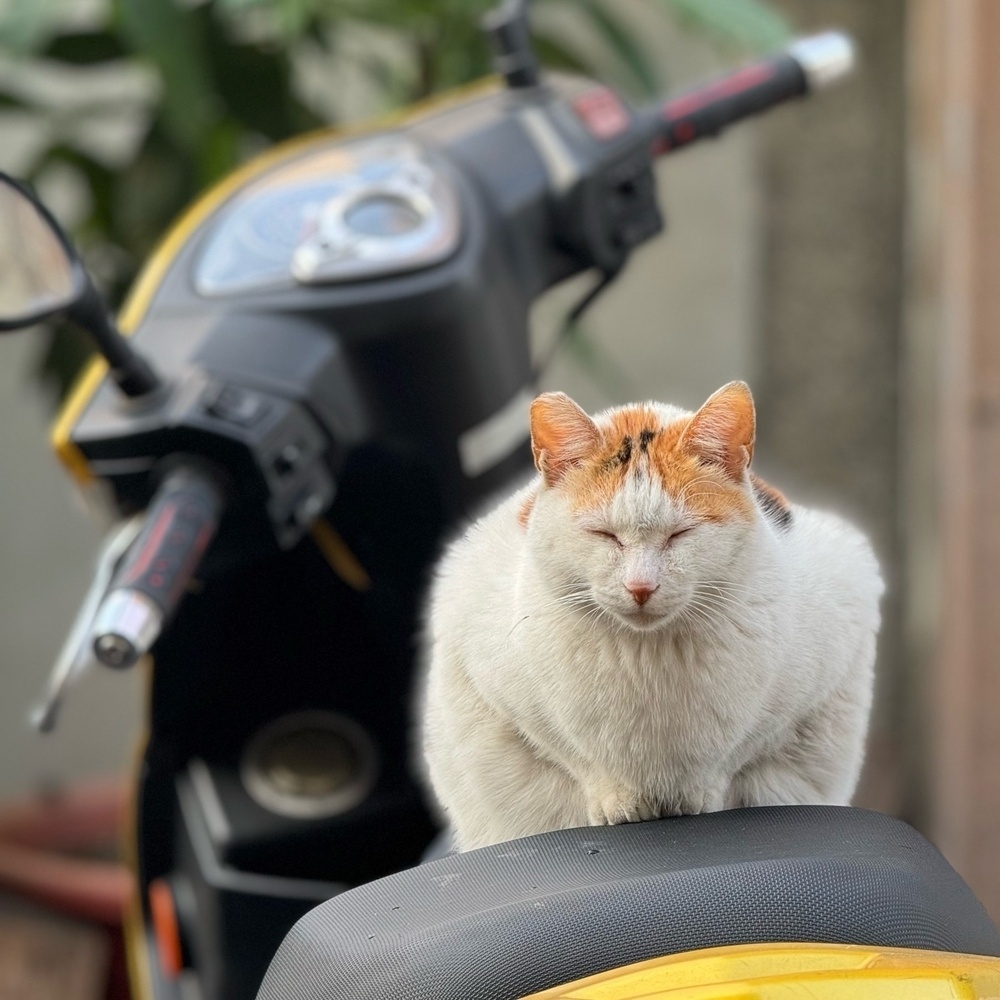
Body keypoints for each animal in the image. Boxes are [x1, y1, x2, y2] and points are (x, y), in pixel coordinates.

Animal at [418, 382, 880, 852]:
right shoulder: (494, 678)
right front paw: (616, 798)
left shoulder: (824, 660)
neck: (647, 658)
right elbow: (569, 750)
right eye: (605, 534)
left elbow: (738, 750)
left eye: (680, 533)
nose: (640, 587)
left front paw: (698, 792)